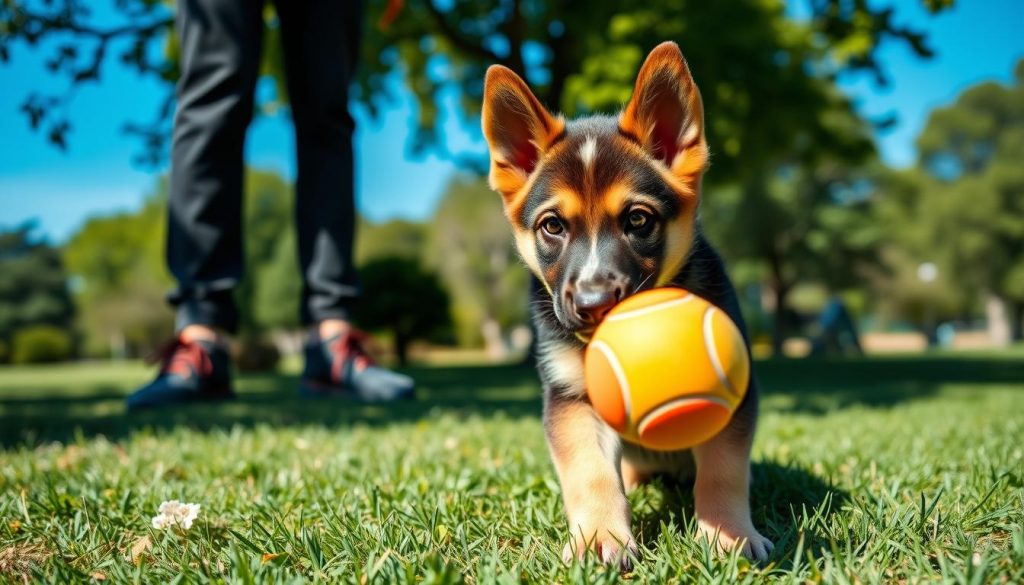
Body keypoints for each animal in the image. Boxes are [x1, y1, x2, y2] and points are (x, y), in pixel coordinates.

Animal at [483, 39, 770, 569]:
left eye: (638, 220)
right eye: (552, 226)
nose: (594, 303)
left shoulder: (733, 397)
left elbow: (723, 468)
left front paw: (730, 536)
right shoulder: (570, 400)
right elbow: (590, 472)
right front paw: (600, 537)